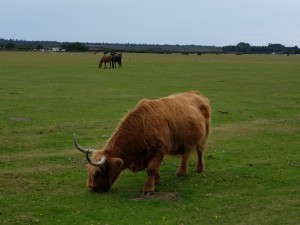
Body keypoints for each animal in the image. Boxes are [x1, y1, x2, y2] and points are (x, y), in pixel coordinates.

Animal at [74, 90, 211, 194]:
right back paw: (181, 172)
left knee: (200, 151)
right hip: (186, 139)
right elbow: (153, 168)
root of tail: (196, 93)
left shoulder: (159, 149)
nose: (92, 187)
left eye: (99, 172)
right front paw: (157, 181)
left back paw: (199, 169)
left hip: (204, 135)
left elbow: (151, 168)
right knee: (185, 155)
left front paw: (148, 188)